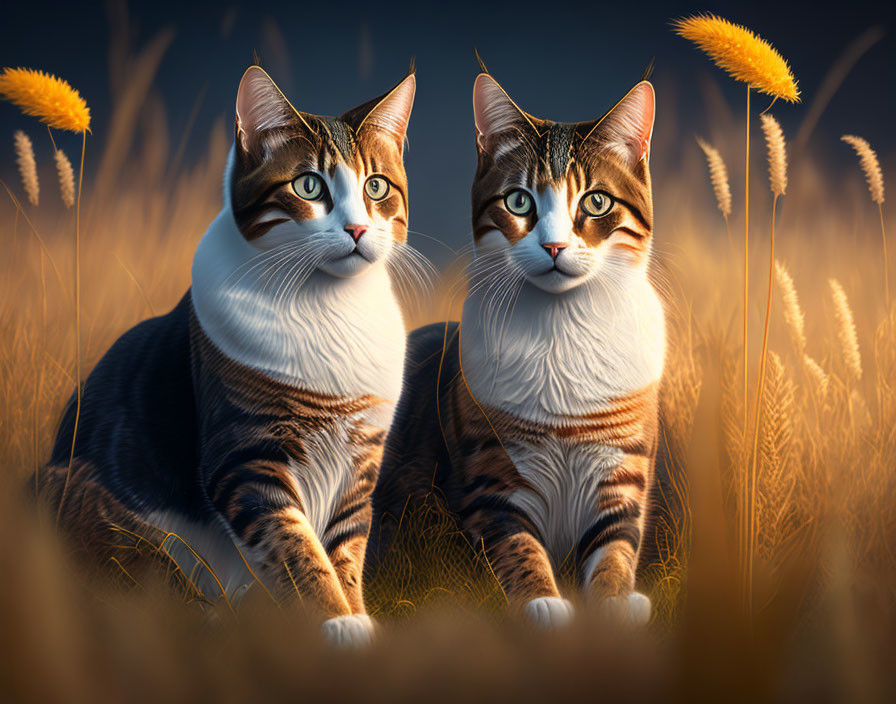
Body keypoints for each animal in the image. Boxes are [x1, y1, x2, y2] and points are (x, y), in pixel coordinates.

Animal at [40, 67, 418, 648]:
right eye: (309, 186)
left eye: (375, 186)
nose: (357, 230)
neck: (332, 307)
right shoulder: (246, 458)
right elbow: (297, 549)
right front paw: (336, 622)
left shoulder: (360, 461)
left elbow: (345, 551)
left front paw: (355, 613)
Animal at [366, 73, 664, 628]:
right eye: (520, 202)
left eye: (596, 202)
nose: (554, 246)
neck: (563, 331)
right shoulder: (493, 480)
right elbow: (517, 544)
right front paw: (543, 601)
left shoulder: (622, 477)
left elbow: (615, 548)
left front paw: (615, 602)